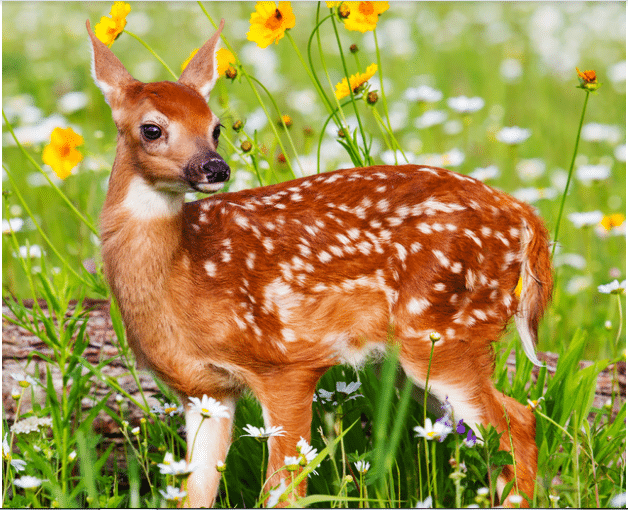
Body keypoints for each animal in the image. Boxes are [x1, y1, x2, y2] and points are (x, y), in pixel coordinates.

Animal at [87, 18, 548, 506]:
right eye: (151, 129)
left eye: (214, 127)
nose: (215, 168)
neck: (184, 274)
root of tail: (522, 214)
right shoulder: (203, 390)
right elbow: (195, 491)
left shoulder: (287, 361)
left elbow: (285, 490)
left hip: (445, 331)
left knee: (517, 425)